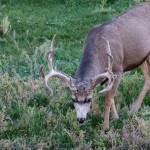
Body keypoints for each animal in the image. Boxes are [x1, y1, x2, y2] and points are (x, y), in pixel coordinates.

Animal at [40, 2, 150, 130]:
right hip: (141, 57)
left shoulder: (117, 70)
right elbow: (111, 97)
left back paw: (132, 110)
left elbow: (108, 99)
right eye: (73, 99)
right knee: (147, 77)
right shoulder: (108, 75)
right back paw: (133, 110)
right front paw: (116, 118)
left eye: (89, 99)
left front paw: (105, 127)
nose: (81, 120)